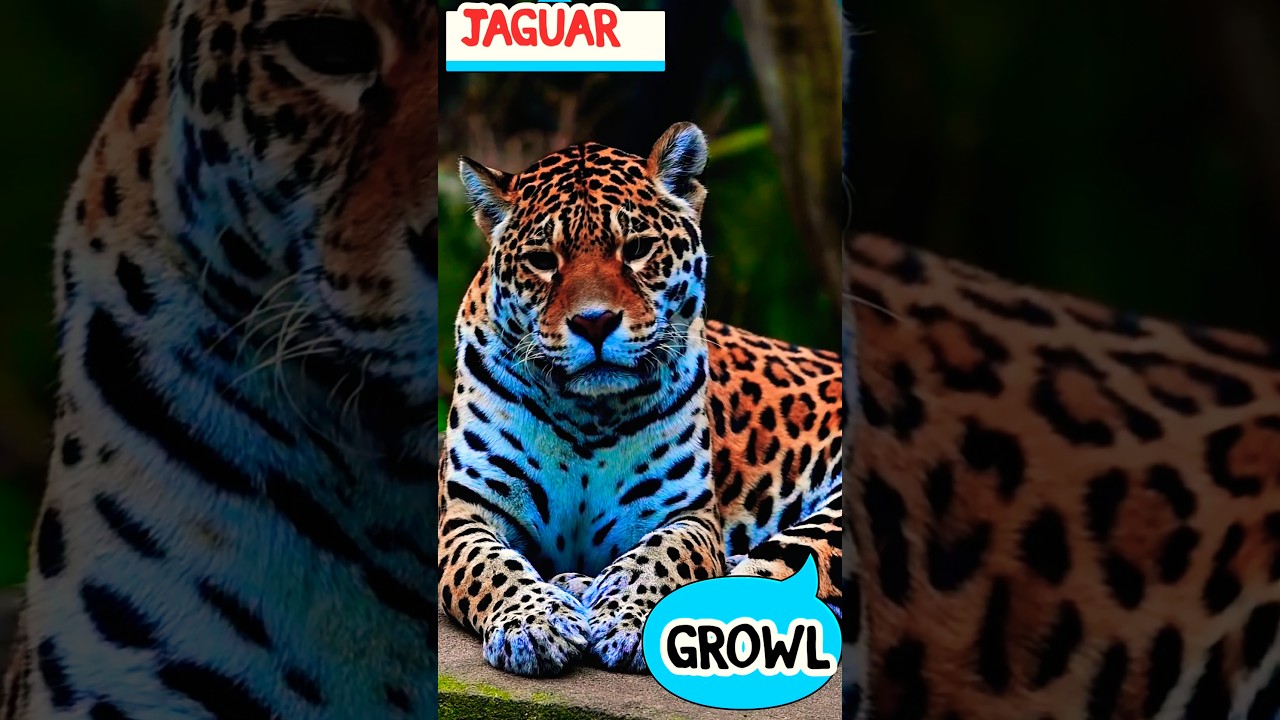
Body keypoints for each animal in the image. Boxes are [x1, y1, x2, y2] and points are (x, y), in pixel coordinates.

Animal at [437, 122, 844, 677]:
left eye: (637, 249)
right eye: (543, 261)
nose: (594, 322)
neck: (588, 415)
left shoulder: (688, 516)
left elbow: (661, 558)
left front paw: (625, 617)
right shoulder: (467, 513)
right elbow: (493, 568)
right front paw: (535, 624)